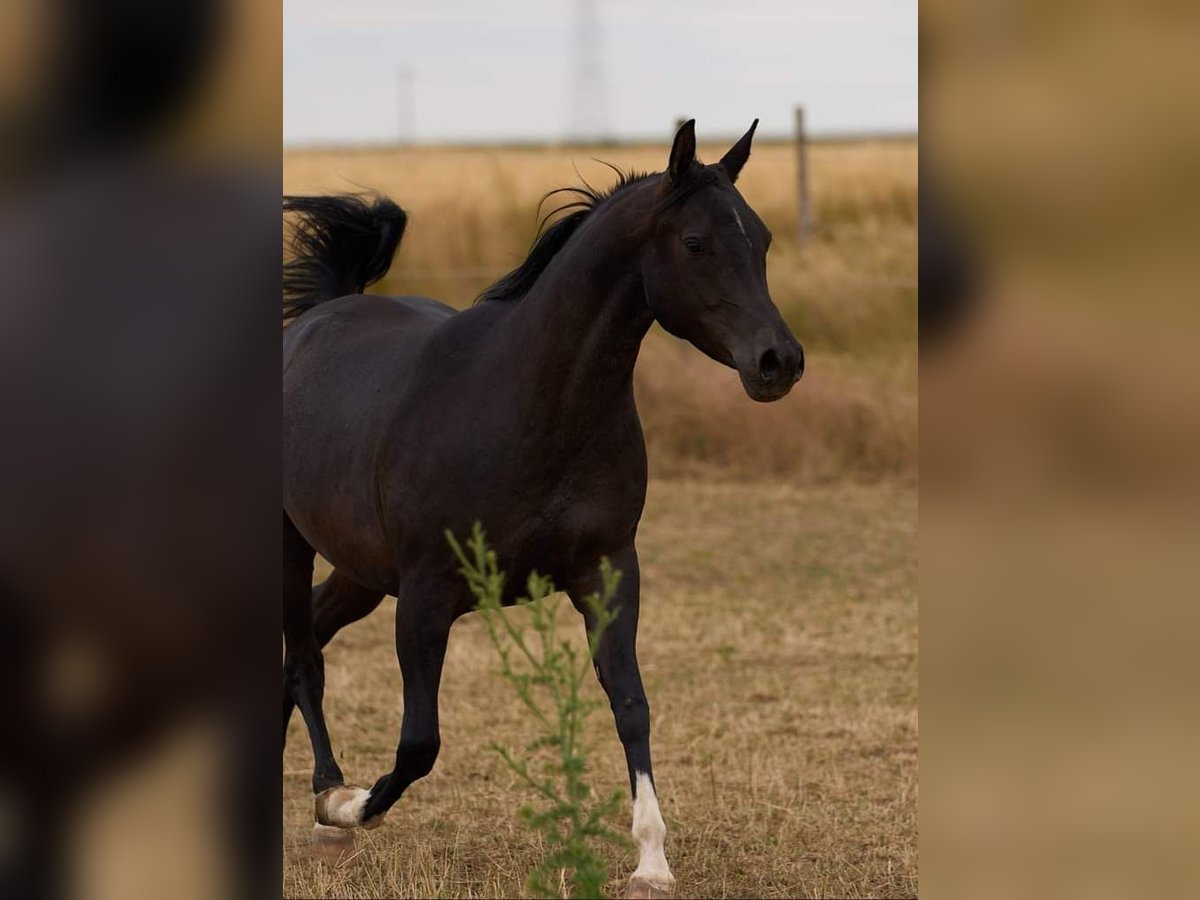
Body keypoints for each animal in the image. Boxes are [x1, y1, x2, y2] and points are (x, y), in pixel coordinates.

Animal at [284, 121, 801, 900]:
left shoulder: (608, 572)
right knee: (303, 656)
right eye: (696, 243)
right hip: (294, 547)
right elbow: (419, 742)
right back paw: (328, 800)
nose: (780, 362)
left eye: (763, 238)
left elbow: (631, 704)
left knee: (307, 639)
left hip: (360, 572)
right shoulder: (428, 594)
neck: (528, 401)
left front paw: (651, 861)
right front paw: (351, 805)